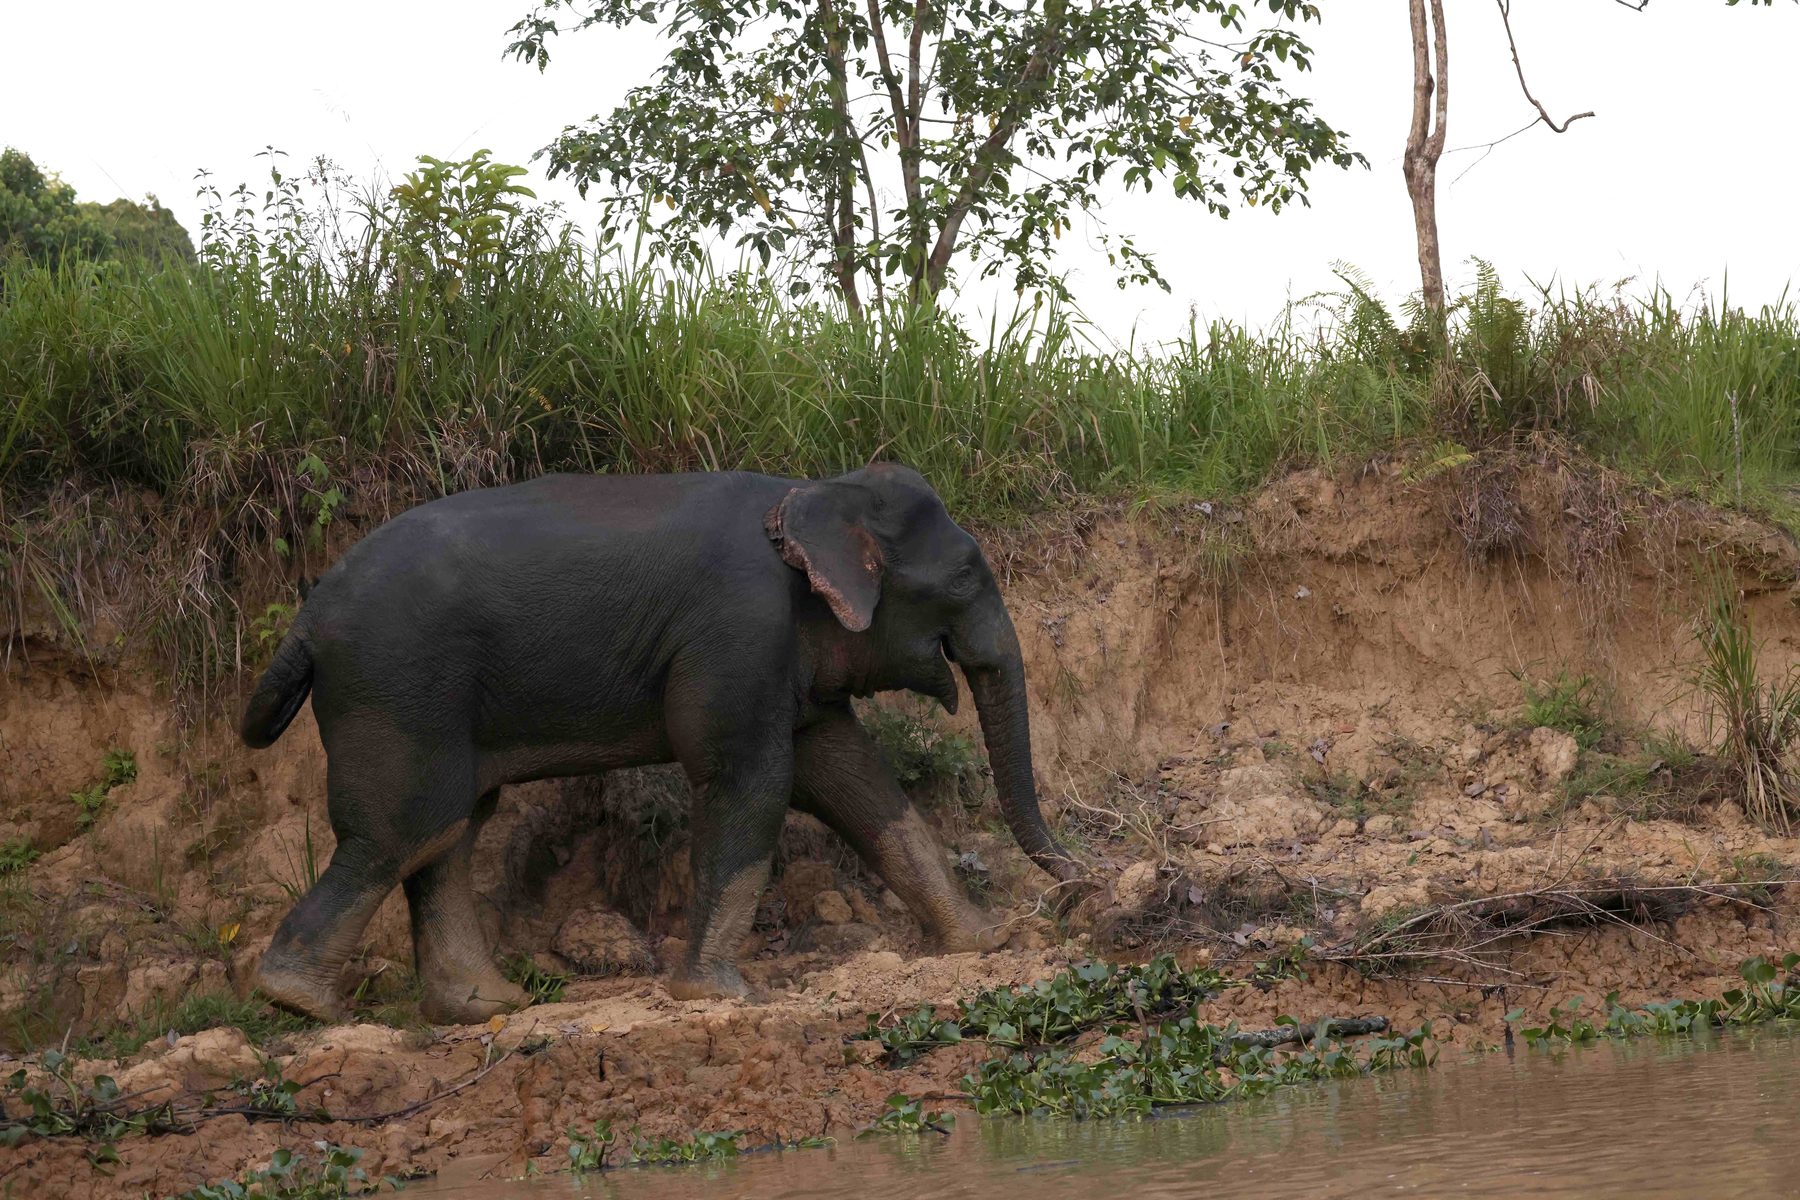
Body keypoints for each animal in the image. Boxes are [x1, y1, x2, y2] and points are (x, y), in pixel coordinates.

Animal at [239, 462, 1083, 1025]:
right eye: (967, 578)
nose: (1075, 895)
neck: (811, 488)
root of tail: (303, 622)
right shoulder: (739, 628)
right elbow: (750, 779)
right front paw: (720, 994)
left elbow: (851, 777)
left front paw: (982, 940)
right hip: (399, 688)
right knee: (408, 829)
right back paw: (301, 1001)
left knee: (450, 832)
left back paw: (484, 1007)